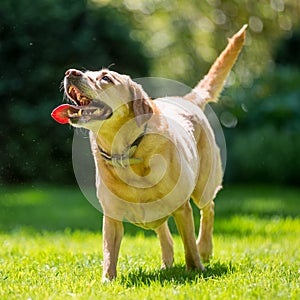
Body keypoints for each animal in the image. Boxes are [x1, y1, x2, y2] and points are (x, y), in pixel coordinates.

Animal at [51, 25, 246, 282]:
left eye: (105, 78)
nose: (70, 72)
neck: (126, 151)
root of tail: (186, 99)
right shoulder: (111, 217)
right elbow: (109, 252)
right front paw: (107, 280)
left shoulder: (182, 208)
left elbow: (189, 245)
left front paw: (195, 269)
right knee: (164, 232)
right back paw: (167, 261)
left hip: (203, 184)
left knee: (208, 209)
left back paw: (204, 249)